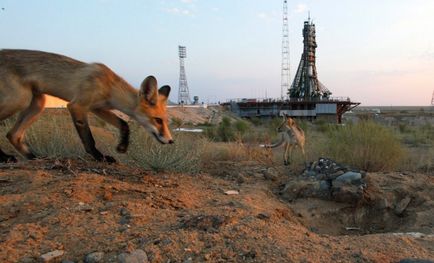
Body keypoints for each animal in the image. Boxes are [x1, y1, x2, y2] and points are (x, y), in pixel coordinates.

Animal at [0, 49, 173, 163]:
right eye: (158, 120)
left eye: (166, 121)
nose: (171, 141)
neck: (110, 86)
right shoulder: (77, 105)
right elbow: (89, 139)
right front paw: (100, 157)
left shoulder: (98, 108)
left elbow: (124, 124)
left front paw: (122, 146)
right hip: (20, 100)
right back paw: (4, 158)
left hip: (38, 104)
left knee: (12, 135)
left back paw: (35, 157)